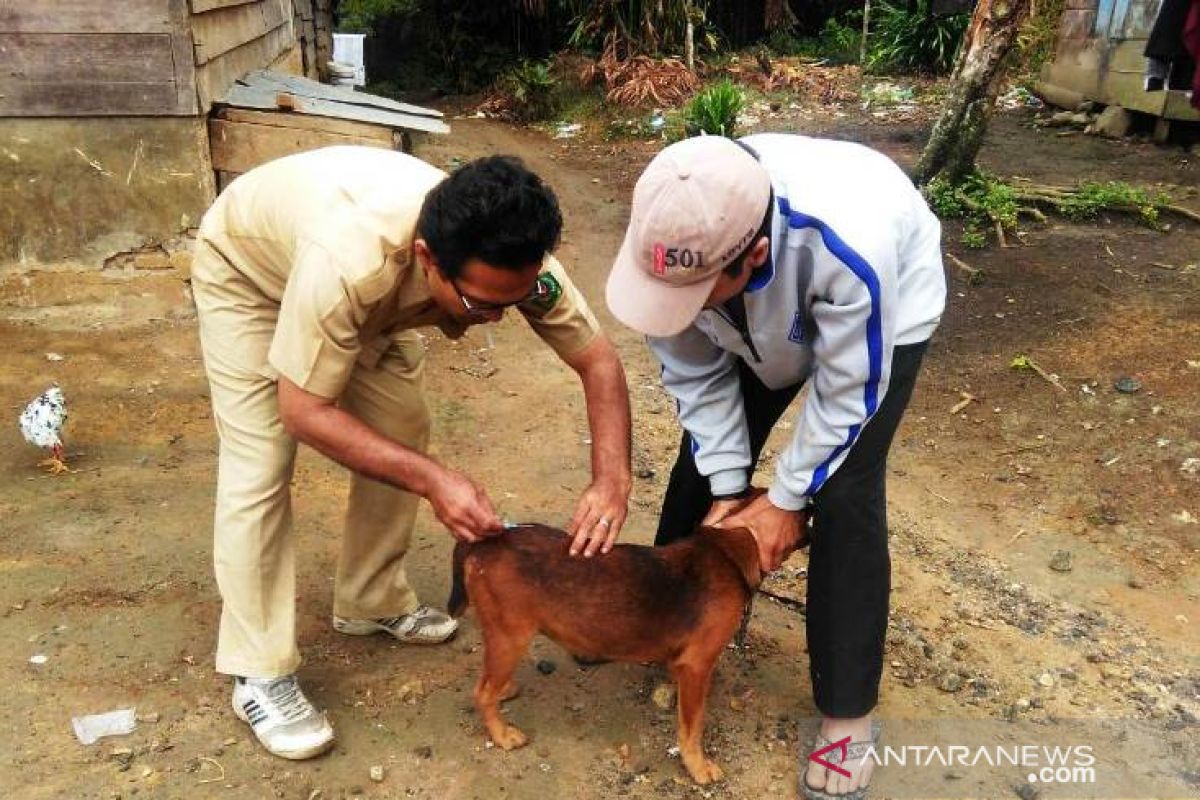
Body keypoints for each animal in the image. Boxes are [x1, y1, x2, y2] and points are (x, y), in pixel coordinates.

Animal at [446, 525, 763, 782]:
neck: (728, 554)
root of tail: (485, 542)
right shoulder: (697, 666)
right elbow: (693, 726)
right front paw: (697, 766)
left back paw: (505, 690)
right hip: (511, 638)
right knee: (482, 691)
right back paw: (502, 735)